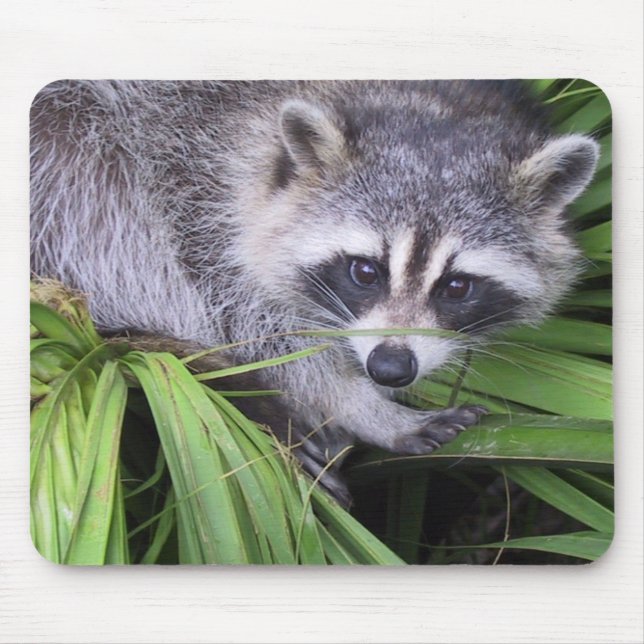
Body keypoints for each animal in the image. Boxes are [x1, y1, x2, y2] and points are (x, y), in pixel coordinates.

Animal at [30, 80, 599, 505]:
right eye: (365, 271)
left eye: (457, 286)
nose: (390, 368)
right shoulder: (187, 173)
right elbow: (250, 323)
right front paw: (359, 405)